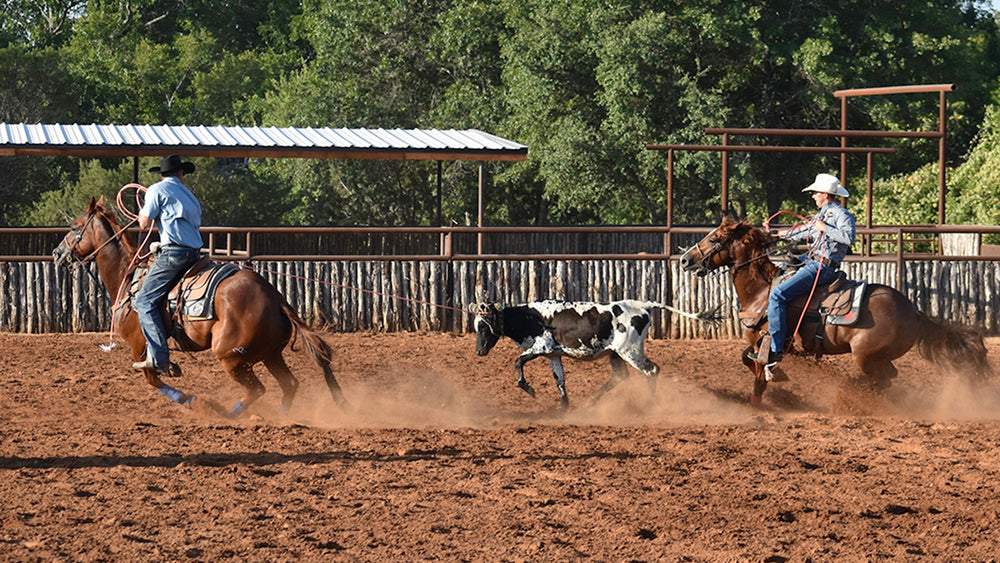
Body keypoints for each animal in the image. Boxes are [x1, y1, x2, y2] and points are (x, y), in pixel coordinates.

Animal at [50, 197, 348, 414]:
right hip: (270, 354)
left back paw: (224, 415)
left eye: (74, 227)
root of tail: (275, 298)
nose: (56, 253)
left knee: (256, 390)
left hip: (232, 357)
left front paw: (192, 401)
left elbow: (152, 379)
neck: (128, 275)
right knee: (289, 385)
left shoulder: (140, 347)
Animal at [476, 300, 664, 410]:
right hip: (616, 353)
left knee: (652, 370)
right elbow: (559, 380)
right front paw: (564, 408)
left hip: (631, 351)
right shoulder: (553, 355)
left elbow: (518, 361)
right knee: (620, 375)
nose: (479, 351)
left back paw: (650, 404)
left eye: (484, 326)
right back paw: (591, 401)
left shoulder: (542, 346)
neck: (530, 318)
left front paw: (529, 389)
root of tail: (643, 306)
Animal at [680, 216, 992, 406]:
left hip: (865, 356)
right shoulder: (762, 345)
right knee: (888, 380)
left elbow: (757, 376)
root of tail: (914, 311)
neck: (762, 291)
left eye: (713, 239)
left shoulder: (767, 342)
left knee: (884, 380)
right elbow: (747, 359)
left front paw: (758, 402)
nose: (684, 260)